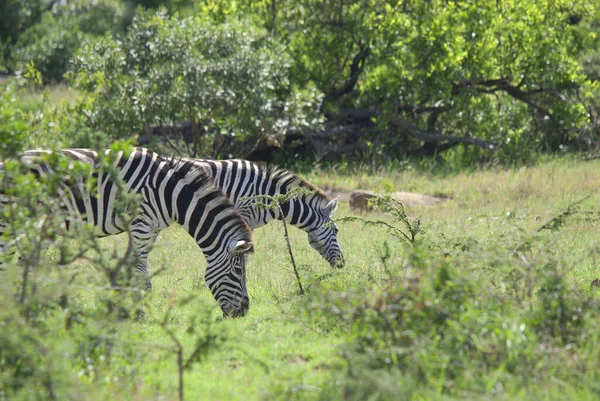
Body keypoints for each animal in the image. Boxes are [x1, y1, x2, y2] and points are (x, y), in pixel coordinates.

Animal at [0, 148, 253, 318]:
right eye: (238, 270)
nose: (244, 311)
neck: (170, 193)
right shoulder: (141, 224)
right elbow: (142, 277)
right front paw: (142, 315)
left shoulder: (148, 229)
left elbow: (131, 271)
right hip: (9, 221)